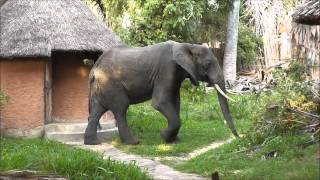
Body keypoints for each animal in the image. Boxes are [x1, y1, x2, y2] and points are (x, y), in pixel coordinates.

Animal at [84, 40, 239, 145]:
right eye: (207, 65)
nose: (238, 138)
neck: (187, 45)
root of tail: (94, 67)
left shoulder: (176, 74)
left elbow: (176, 102)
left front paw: (174, 140)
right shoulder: (166, 69)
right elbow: (160, 102)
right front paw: (164, 136)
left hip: (102, 86)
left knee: (98, 109)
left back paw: (93, 143)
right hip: (111, 83)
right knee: (121, 107)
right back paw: (134, 142)